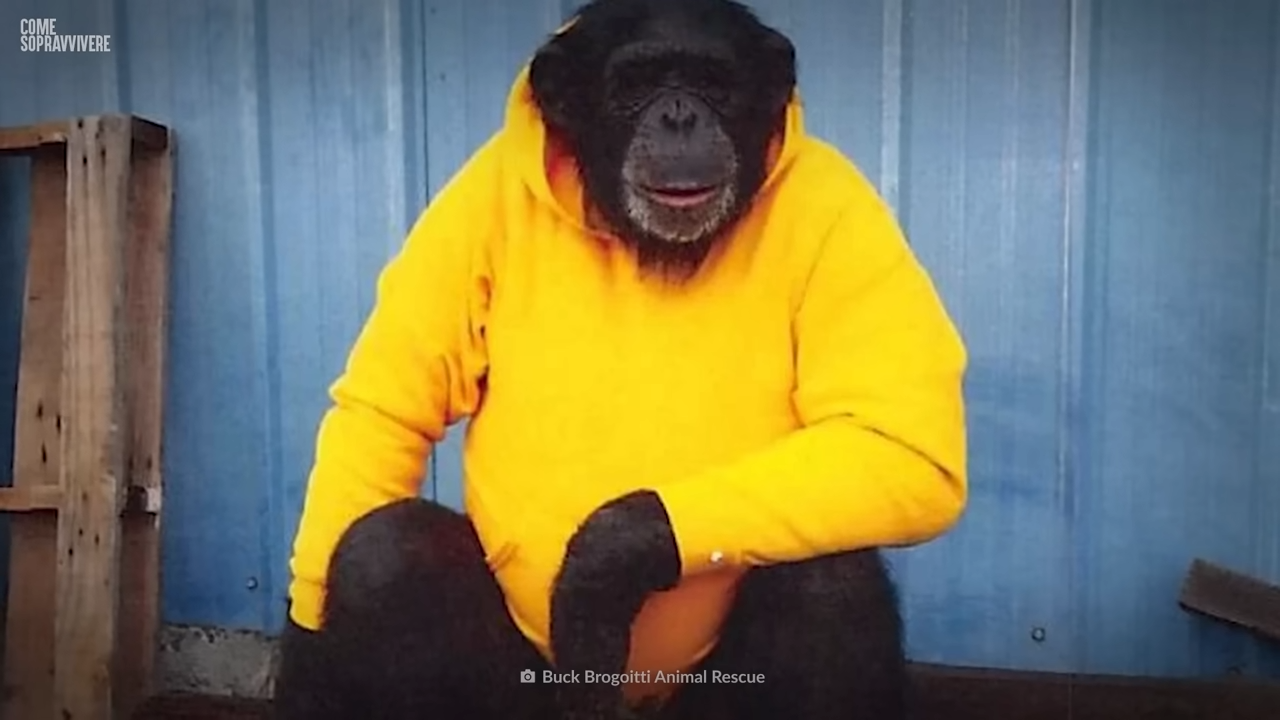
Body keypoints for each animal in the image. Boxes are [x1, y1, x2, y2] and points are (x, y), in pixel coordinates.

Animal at [273, 1, 969, 718]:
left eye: (712, 82)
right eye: (637, 84)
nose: (679, 115)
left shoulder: (848, 212)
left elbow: (899, 438)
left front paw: (601, 570)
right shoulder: (469, 201)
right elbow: (387, 408)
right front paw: (309, 671)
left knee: (828, 574)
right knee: (386, 555)